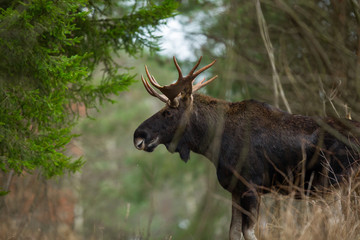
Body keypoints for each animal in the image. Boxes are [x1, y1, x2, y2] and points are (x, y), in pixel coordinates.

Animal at [134, 57, 360, 239]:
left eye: (168, 112)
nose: (139, 135)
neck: (214, 145)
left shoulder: (251, 186)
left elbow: (249, 232)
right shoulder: (235, 189)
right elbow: (234, 232)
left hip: (333, 184)